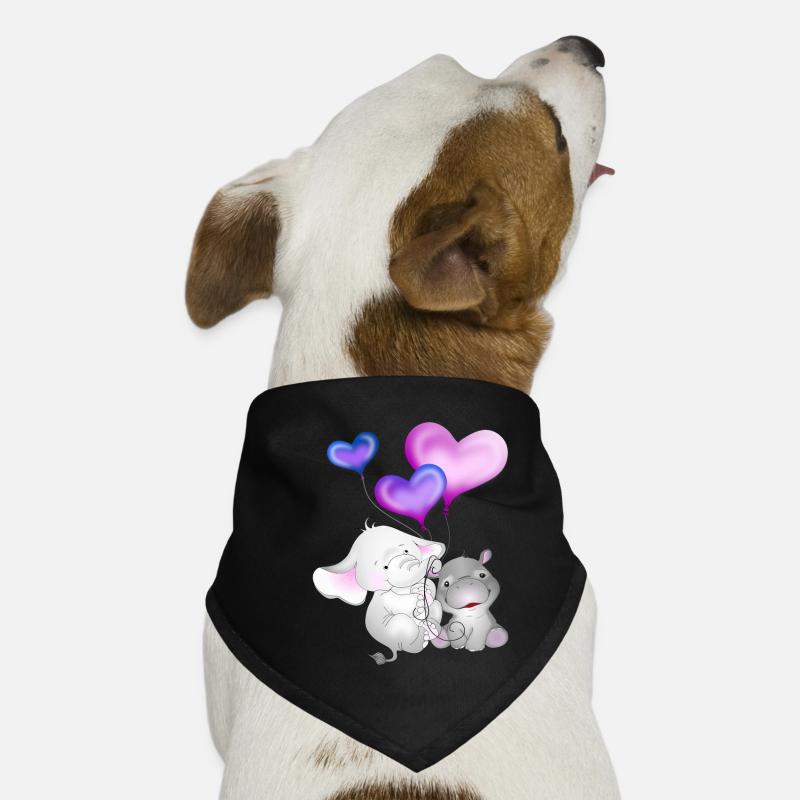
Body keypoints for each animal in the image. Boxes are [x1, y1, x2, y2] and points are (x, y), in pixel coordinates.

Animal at [313, 524, 445, 664]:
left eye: (406, 551)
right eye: (385, 567)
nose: (435, 565)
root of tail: (392, 648)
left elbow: (429, 587)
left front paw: (422, 590)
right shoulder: (385, 597)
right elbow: (401, 603)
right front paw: (420, 598)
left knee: (436, 606)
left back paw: (433, 628)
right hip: (397, 629)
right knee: (404, 624)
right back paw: (423, 637)